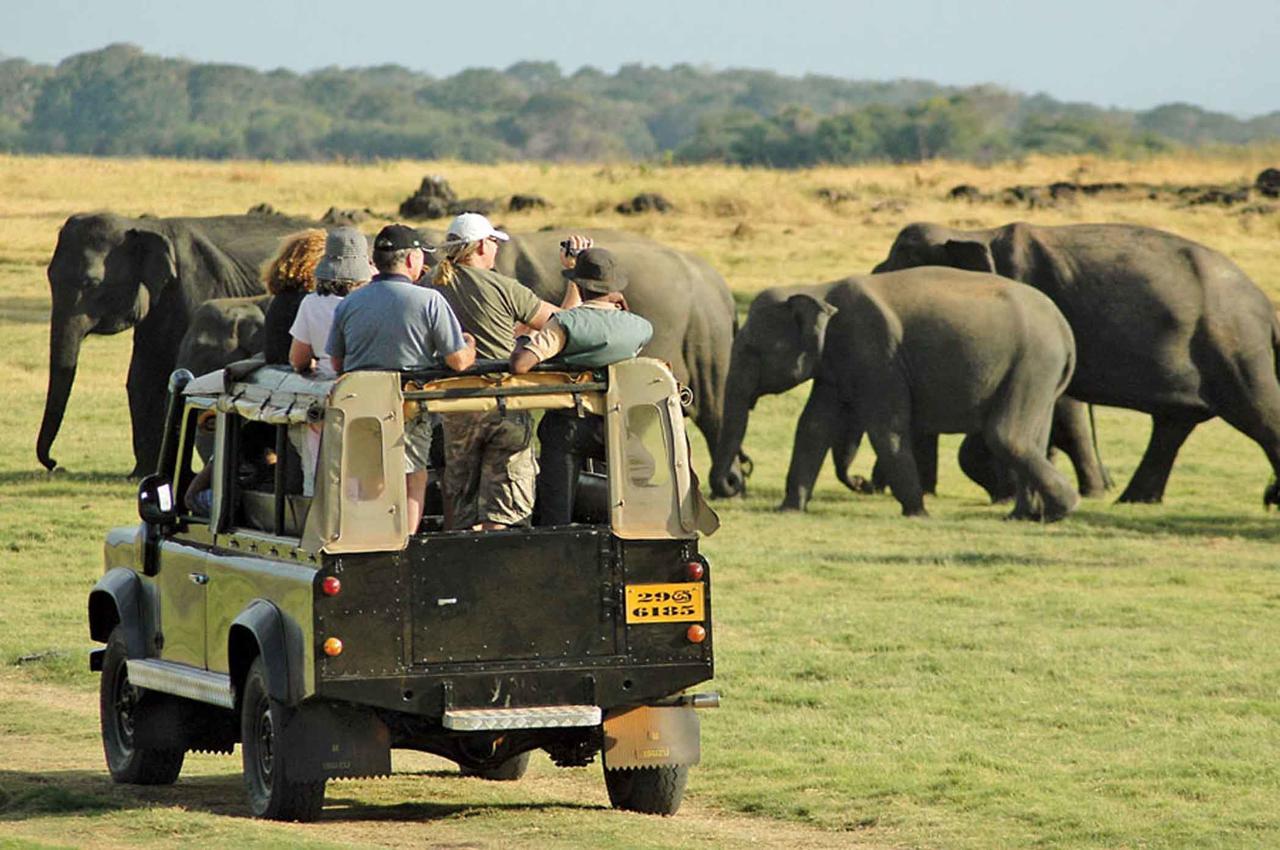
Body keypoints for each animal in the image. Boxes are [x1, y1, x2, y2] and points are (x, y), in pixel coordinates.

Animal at [40, 211, 314, 478]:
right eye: (49, 276)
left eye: (92, 283)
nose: (55, 464)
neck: (144, 226)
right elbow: (143, 377)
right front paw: (140, 474)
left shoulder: (197, 286)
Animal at [711, 267, 1080, 517]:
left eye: (752, 350)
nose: (734, 482)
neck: (818, 289)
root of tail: (1065, 329)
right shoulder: (835, 365)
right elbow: (812, 427)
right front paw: (788, 509)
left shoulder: (876, 353)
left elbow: (886, 428)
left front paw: (918, 513)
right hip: (1040, 375)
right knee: (1033, 437)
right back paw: (1025, 516)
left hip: (1032, 363)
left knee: (1006, 435)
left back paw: (1064, 507)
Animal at [875, 222, 1280, 506]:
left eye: (900, 264)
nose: (869, 487)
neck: (974, 232)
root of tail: (1264, 303)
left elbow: (1059, 409)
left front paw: (1006, 491)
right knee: (1173, 424)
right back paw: (1134, 499)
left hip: (1233, 347)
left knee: (1258, 413)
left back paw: (1270, 499)